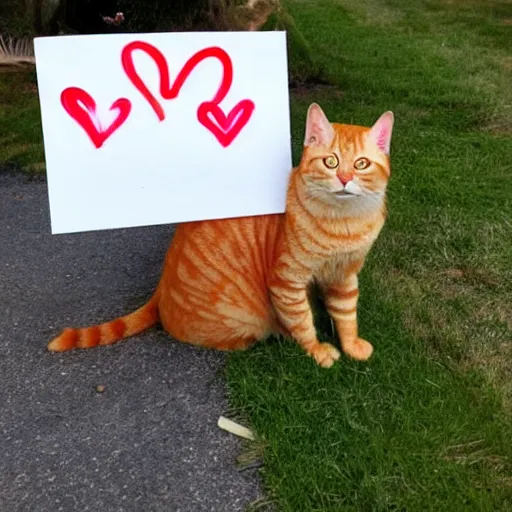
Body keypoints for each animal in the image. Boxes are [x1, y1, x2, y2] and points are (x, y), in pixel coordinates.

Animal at [48, 104, 394, 368]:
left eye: (361, 164)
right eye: (331, 162)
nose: (345, 178)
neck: (345, 224)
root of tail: (160, 288)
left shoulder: (345, 275)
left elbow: (346, 314)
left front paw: (351, 344)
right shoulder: (287, 282)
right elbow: (302, 321)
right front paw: (318, 351)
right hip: (246, 320)